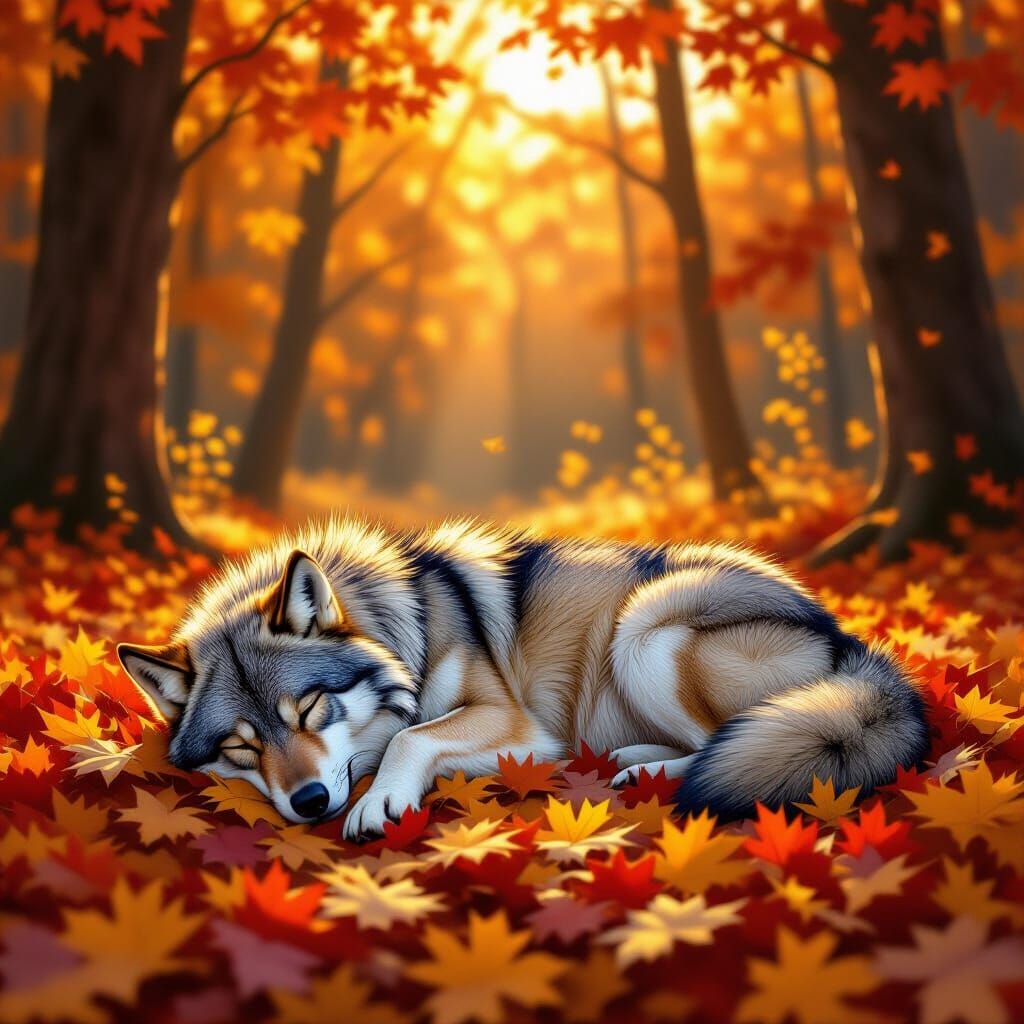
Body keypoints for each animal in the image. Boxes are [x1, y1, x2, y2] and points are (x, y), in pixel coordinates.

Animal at [118, 518, 929, 840]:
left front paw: (377, 802)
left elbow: (412, 737)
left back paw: (655, 771)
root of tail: (846, 635)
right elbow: (409, 735)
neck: (407, 626)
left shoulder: (517, 725)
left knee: (733, 739)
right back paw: (635, 762)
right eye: (241, 747)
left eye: (312, 708)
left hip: (647, 624)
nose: (310, 801)